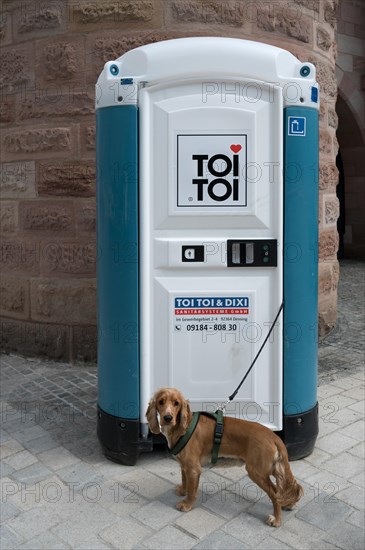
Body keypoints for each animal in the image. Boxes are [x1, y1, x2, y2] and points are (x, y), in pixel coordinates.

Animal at [145, 386, 302, 528]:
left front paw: (187, 504)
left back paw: (277, 520)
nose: (167, 418)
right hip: (273, 469)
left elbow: (192, 491)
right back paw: (288, 505)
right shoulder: (184, 464)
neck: (182, 428)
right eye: (161, 402)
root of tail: (274, 436)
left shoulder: (193, 468)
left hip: (256, 472)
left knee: (276, 494)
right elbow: (184, 480)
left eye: (176, 403)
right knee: (286, 487)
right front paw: (182, 491)